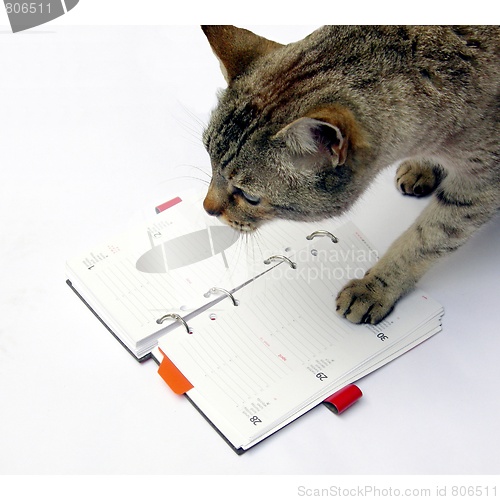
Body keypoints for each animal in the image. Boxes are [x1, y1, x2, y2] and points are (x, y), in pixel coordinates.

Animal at [200, 26, 500, 324]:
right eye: (209, 160)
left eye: (249, 197)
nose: (207, 208)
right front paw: (423, 166)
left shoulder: (480, 185)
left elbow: (426, 238)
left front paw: (375, 287)